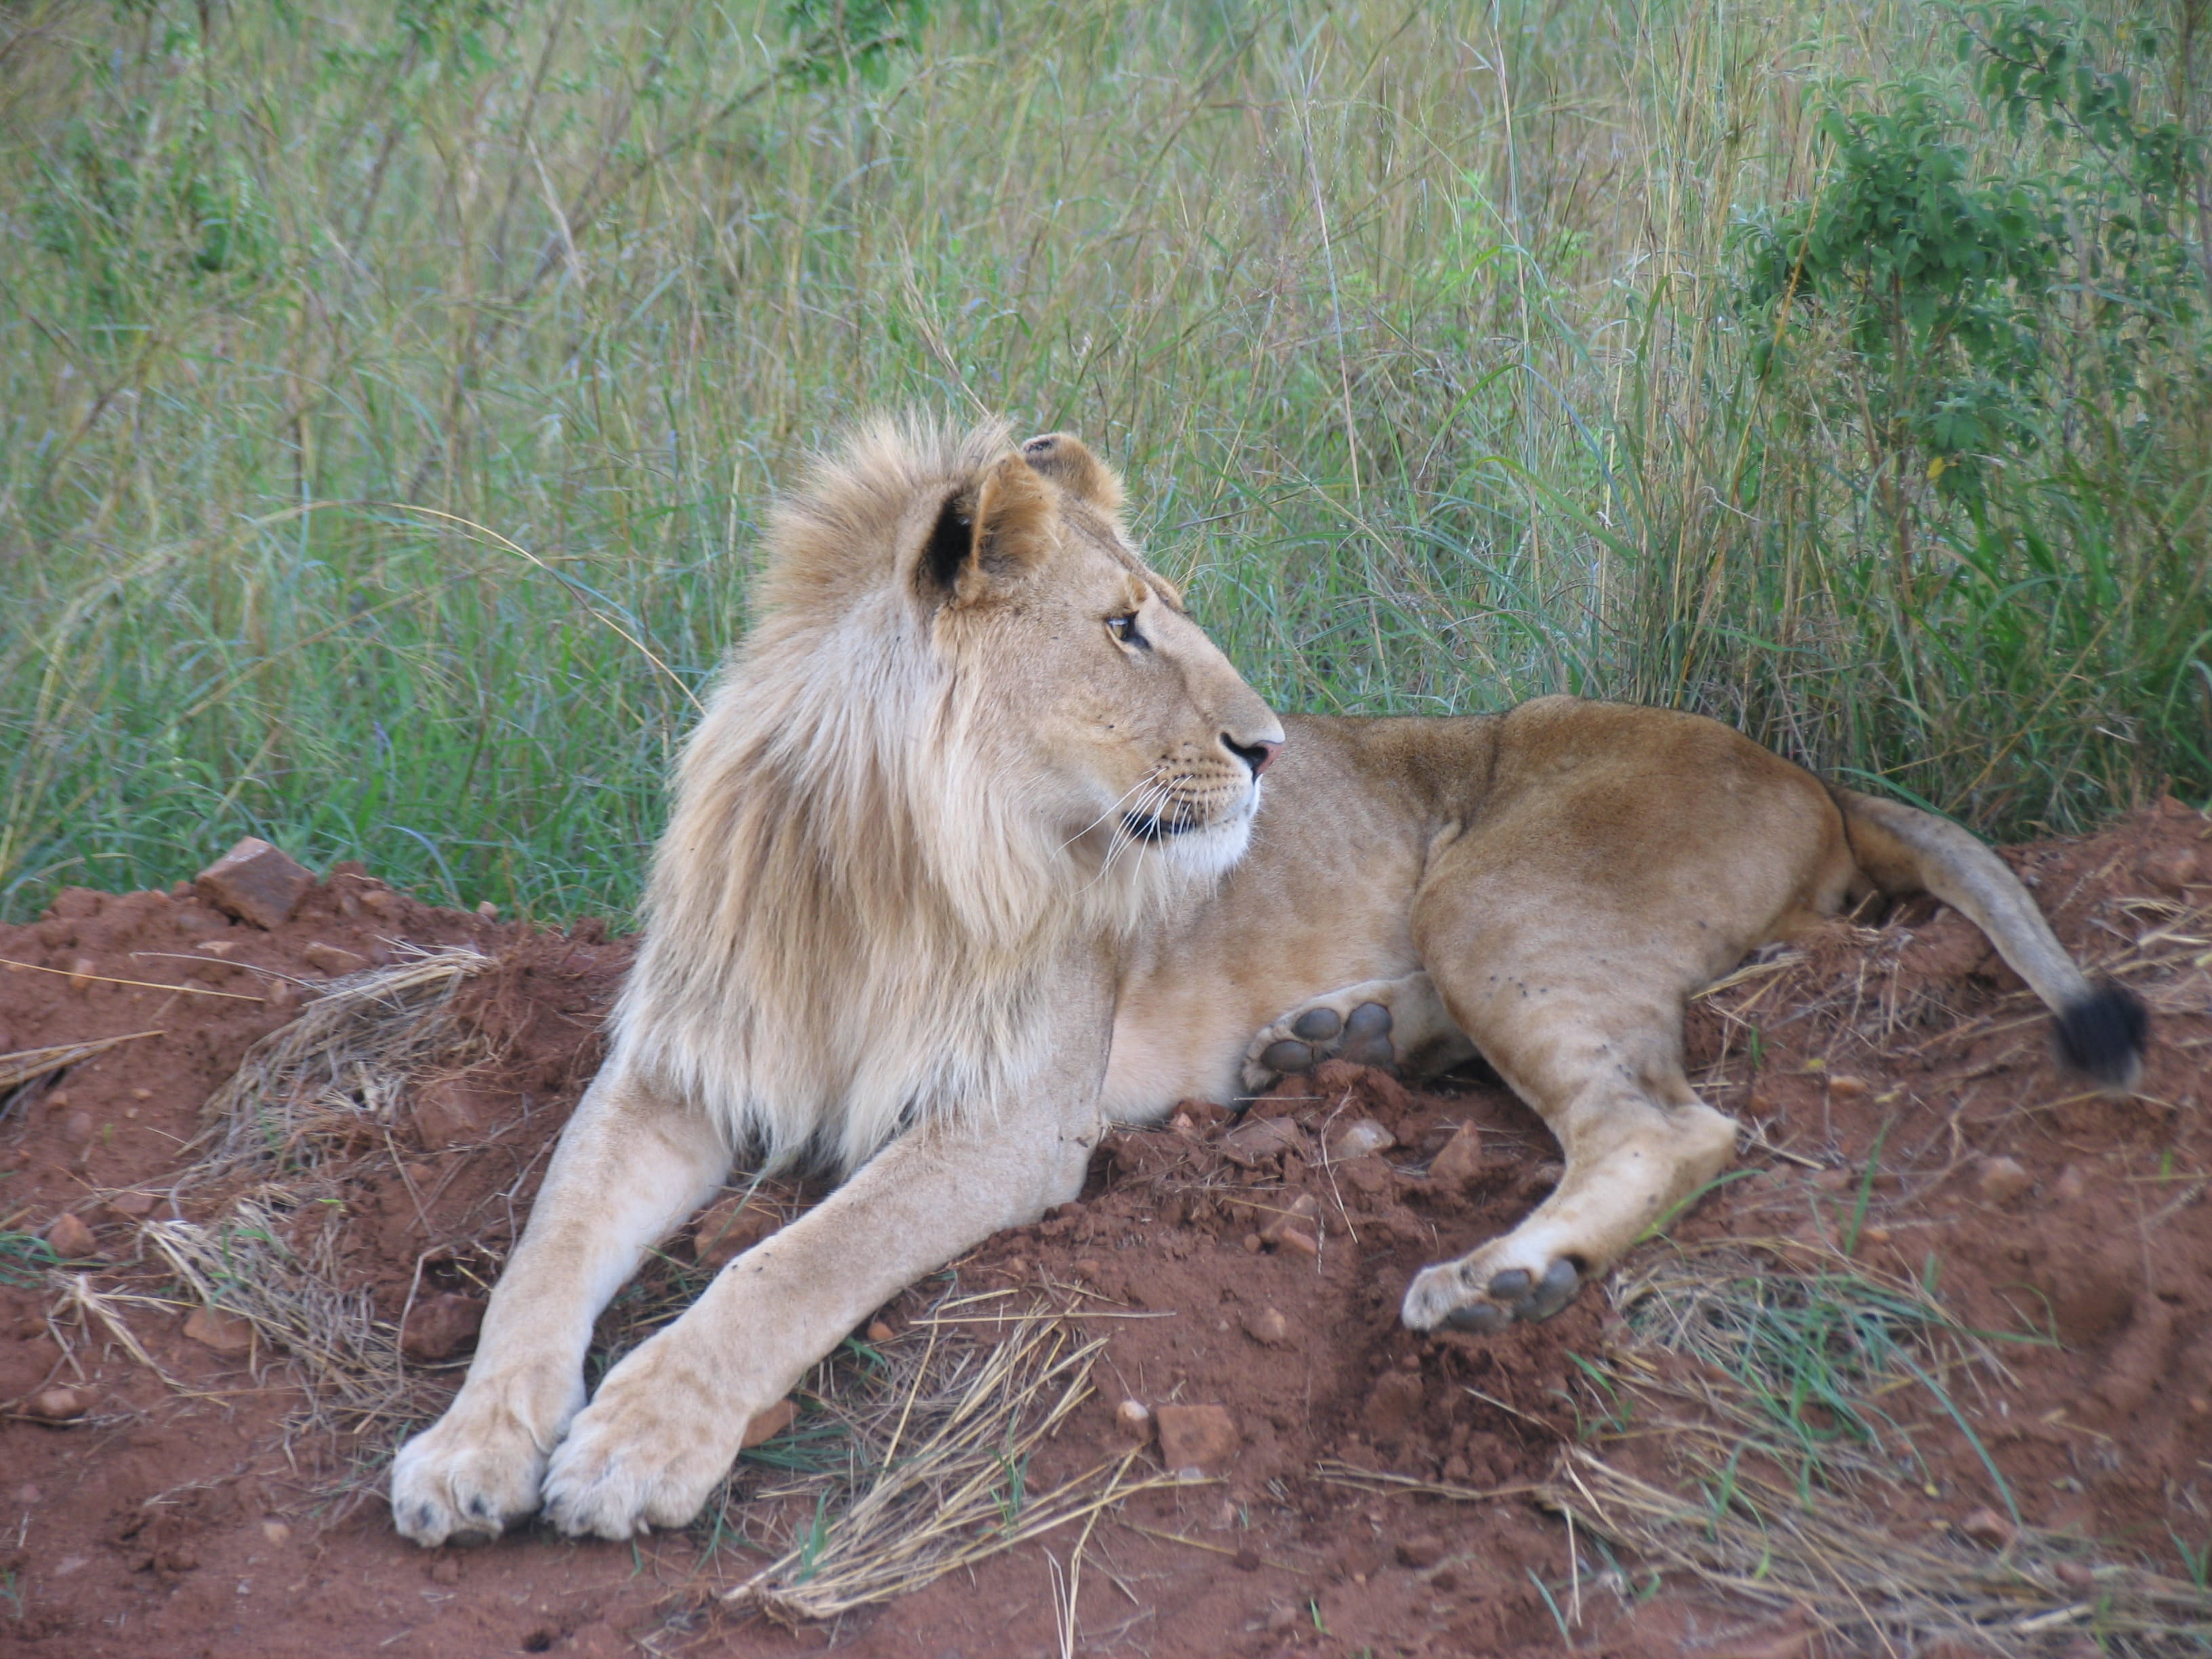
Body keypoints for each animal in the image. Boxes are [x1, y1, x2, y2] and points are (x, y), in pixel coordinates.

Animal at [392, 419, 2144, 1545]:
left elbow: (798, 1260)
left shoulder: (1013, 1119)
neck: (880, 862)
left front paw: (637, 1444)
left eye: (1166, 618)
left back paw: (1500, 1278)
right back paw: (1330, 1038)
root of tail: (1807, 768)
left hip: (1497, 884)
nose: (1269, 746)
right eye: (1124, 630)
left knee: (1673, 1124)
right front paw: (467, 1451)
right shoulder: (673, 1068)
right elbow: (543, 1255)